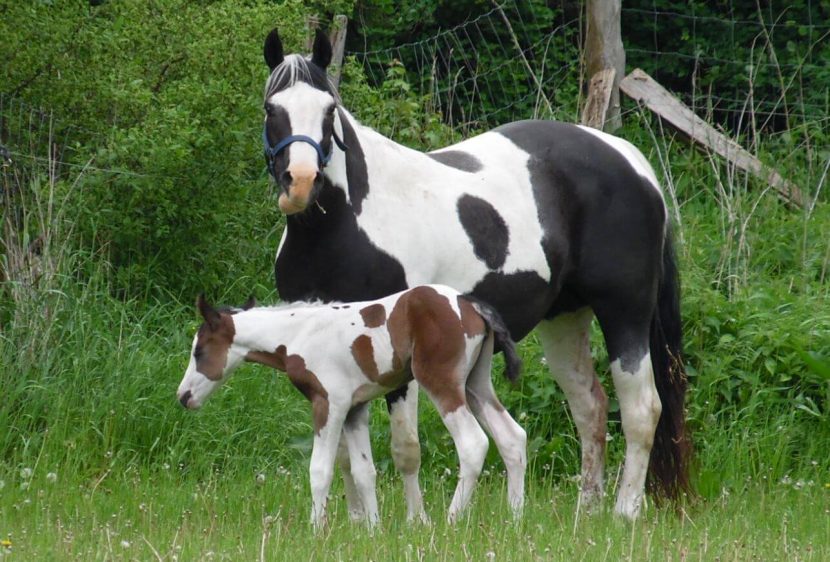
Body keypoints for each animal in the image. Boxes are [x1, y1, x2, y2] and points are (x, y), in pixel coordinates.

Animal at [176, 285, 527, 528]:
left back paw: (452, 520)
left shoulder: (328, 403)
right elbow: (363, 471)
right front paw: (373, 529)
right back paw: (514, 518)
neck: (299, 335)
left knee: (473, 443)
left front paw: (316, 529)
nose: (183, 396)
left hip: (441, 383)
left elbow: (320, 469)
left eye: (199, 352)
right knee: (512, 437)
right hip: (475, 384)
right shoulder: (355, 409)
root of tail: (469, 303)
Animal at [261, 28, 691, 520]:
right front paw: (356, 521)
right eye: (271, 108)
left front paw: (415, 522)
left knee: (642, 410)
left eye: (329, 109)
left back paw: (625, 513)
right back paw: (587, 512)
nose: (301, 182)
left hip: (626, 312)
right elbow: (347, 456)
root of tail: (630, 160)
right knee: (590, 407)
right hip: (565, 320)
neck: (342, 227)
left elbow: (405, 448)